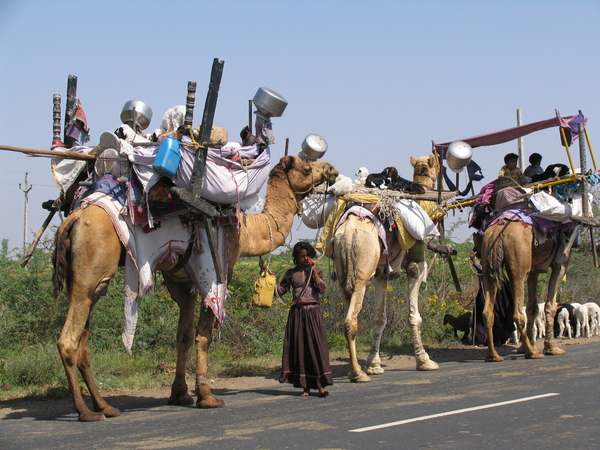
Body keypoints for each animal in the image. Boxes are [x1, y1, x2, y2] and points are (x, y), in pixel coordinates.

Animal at [52, 156, 338, 422]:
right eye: (306, 168)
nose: (331, 169)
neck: (246, 231)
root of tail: (74, 218)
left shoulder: (184, 280)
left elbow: (184, 336)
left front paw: (180, 394)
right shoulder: (217, 273)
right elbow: (204, 336)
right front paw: (207, 396)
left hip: (87, 279)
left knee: (82, 340)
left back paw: (104, 406)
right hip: (92, 267)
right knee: (68, 340)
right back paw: (85, 412)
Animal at [330, 154, 438, 380]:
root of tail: (350, 232)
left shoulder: (382, 274)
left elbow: (380, 319)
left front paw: (374, 364)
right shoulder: (415, 265)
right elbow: (414, 317)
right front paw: (425, 361)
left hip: (344, 274)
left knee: (346, 316)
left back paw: (357, 370)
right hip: (361, 277)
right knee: (351, 321)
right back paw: (358, 374)